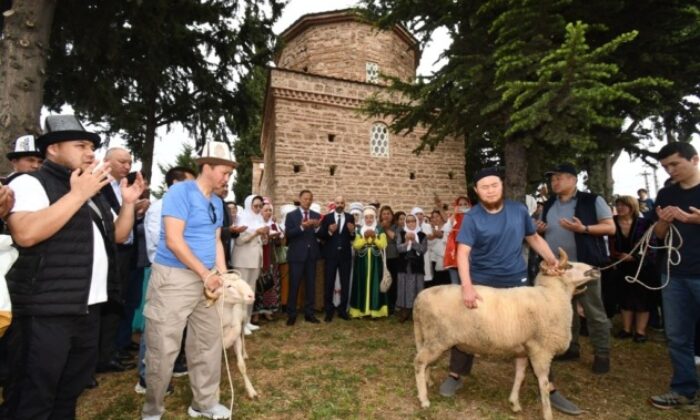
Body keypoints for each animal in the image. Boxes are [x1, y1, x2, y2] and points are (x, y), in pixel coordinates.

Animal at [412, 251, 600, 418]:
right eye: (569, 266)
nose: (596, 268)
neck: (552, 296)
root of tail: (419, 298)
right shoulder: (541, 350)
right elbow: (544, 384)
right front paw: (547, 414)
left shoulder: (524, 349)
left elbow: (520, 376)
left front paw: (514, 402)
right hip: (438, 338)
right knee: (420, 361)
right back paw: (423, 399)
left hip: (428, 336)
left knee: (425, 362)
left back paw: (428, 382)